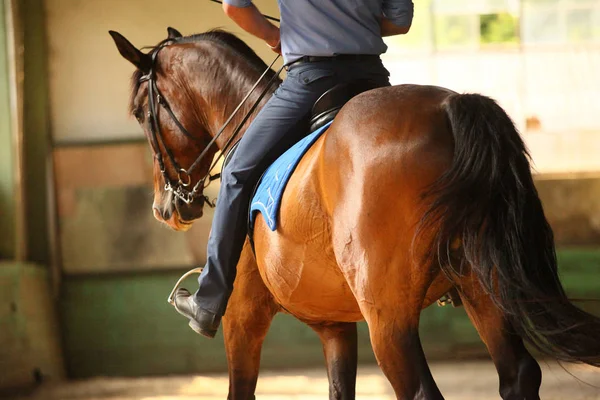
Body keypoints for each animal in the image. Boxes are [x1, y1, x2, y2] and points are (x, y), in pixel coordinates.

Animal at [110, 28, 600, 400]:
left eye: (139, 113)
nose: (165, 207)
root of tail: (448, 108)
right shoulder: (336, 326)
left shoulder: (242, 318)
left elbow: (240, 389)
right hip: (484, 288)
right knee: (518, 376)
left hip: (390, 319)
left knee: (420, 391)